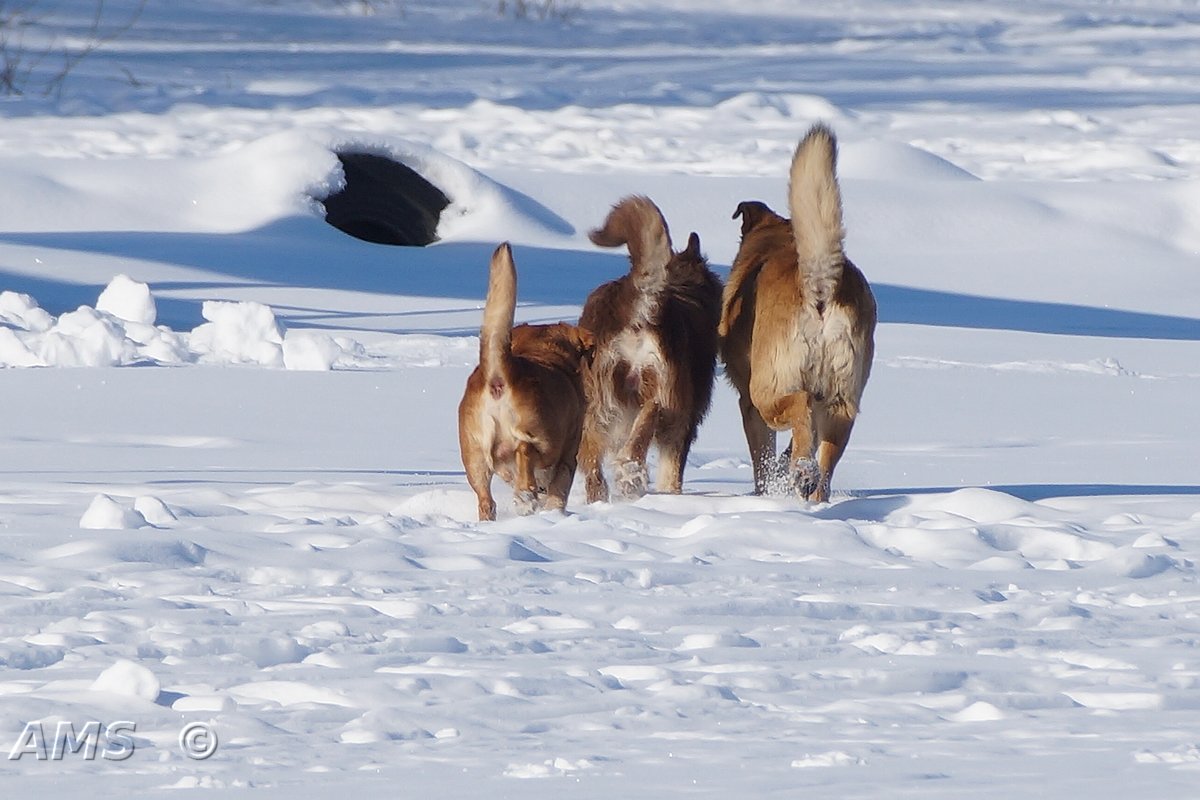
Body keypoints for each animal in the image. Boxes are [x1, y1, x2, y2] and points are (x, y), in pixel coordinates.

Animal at [456, 241, 592, 522]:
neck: (543, 351)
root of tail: (498, 376)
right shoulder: (567, 458)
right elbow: (558, 492)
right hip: (540, 438)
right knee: (525, 451)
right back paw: (524, 497)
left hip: (474, 457)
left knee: (486, 500)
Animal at [576, 196, 715, 503]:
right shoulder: (684, 423)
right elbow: (672, 471)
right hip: (663, 392)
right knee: (642, 431)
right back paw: (630, 475)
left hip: (596, 399)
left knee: (590, 457)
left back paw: (602, 496)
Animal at [715, 123, 878, 501]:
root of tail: (820, 283)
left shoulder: (749, 404)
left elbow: (762, 460)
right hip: (842, 401)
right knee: (826, 459)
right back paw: (812, 490)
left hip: (767, 388)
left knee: (800, 409)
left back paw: (801, 472)